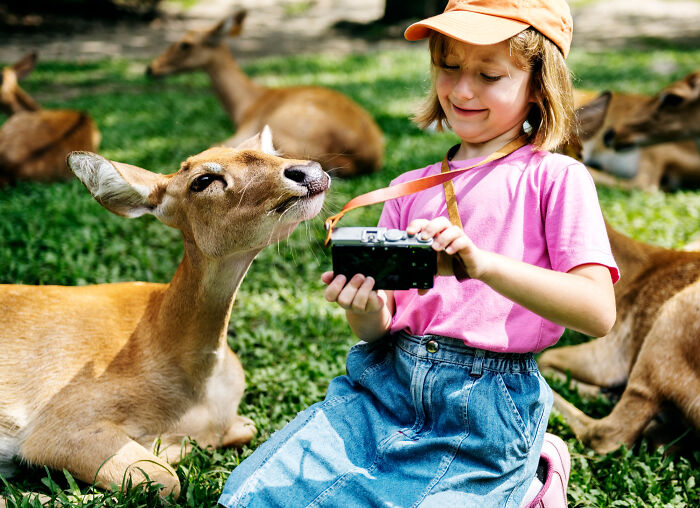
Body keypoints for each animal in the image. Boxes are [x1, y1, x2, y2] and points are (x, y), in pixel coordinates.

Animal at [0, 127, 329, 501]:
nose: (308, 171)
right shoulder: (61, 425)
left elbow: (245, 428)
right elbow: (166, 479)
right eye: (203, 180)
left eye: (273, 154)